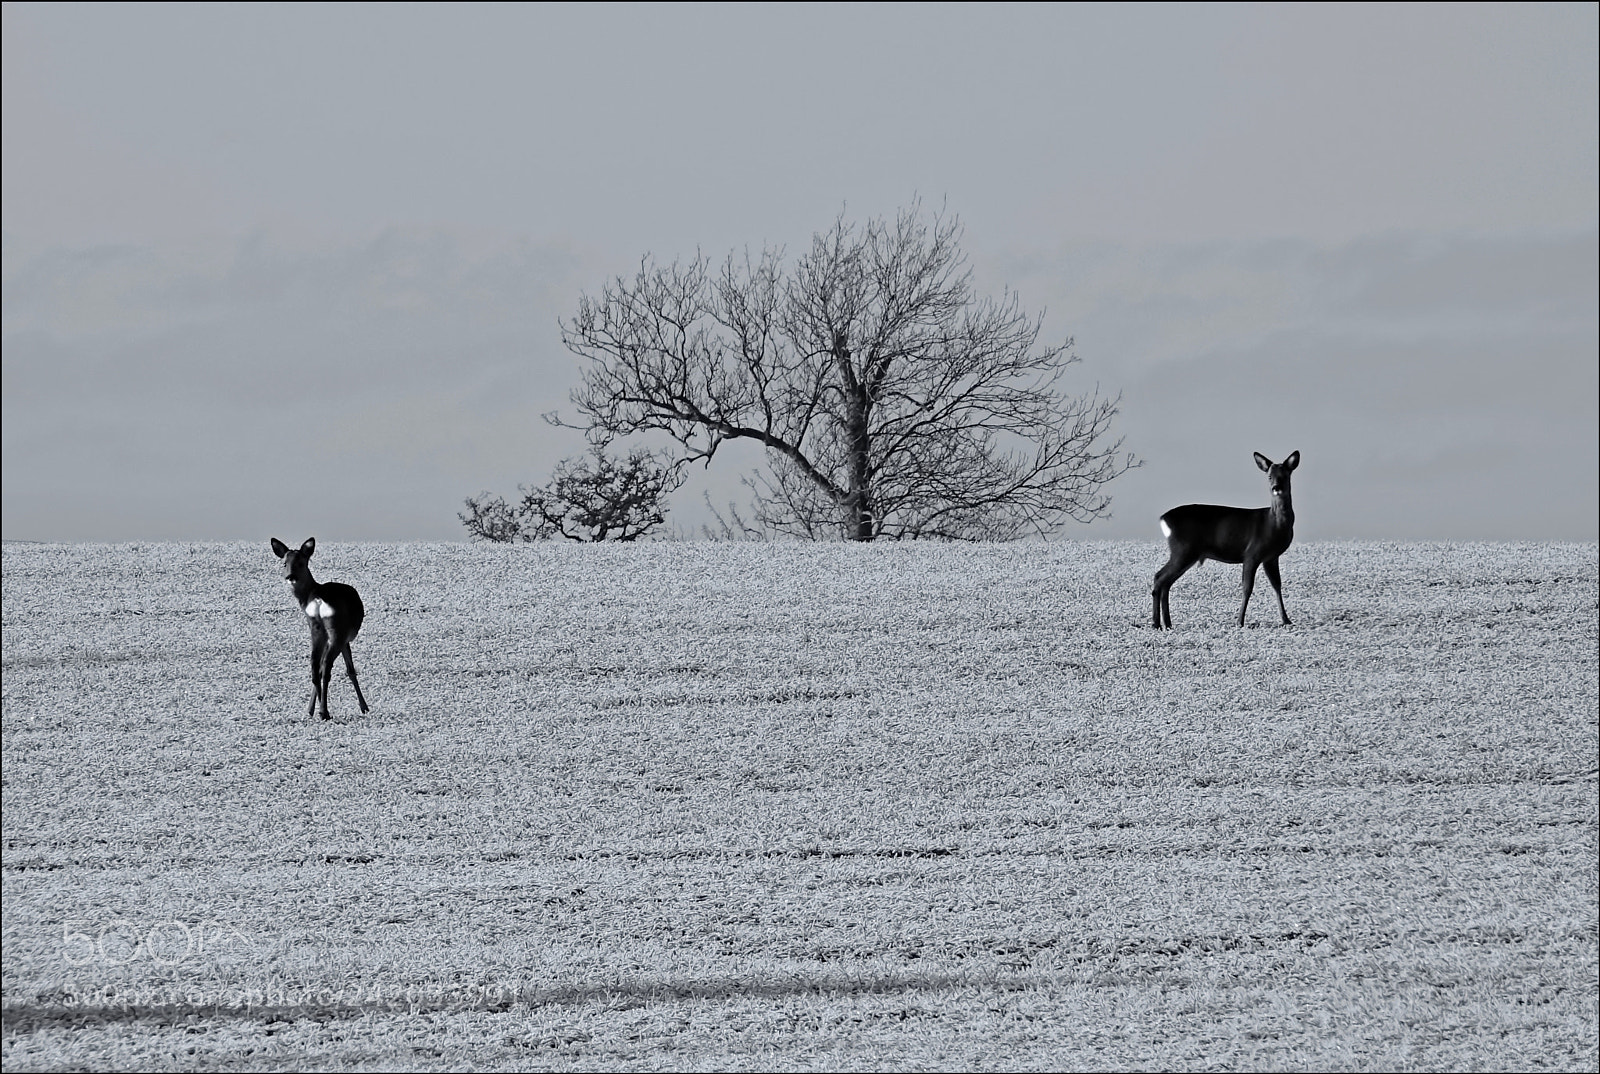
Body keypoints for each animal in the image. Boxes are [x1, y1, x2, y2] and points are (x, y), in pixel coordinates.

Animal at [270, 537, 370, 719]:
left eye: (301, 563)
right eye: (284, 563)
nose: (290, 576)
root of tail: (318, 600)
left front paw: (310, 709)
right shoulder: (344, 639)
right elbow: (350, 670)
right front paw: (364, 707)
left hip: (316, 628)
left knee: (314, 664)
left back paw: (316, 710)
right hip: (337, 631)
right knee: (326, 666)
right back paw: (324, 712)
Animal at [1151, 451, 1300, 629]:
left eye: (1285, 475)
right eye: (1269, 476)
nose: (1276, 488)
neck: (1273, 524)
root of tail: (1163, 519)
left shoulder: (1270, 557)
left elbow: (1277, 585)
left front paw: (1286, 620)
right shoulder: (1252, 553)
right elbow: (1247, 588)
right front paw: (1239, 622)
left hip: (1185, 552)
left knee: (1165, 582)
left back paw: (1166, 624)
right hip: (1183, 549)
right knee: (1159, 577)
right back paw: (1156, 624)